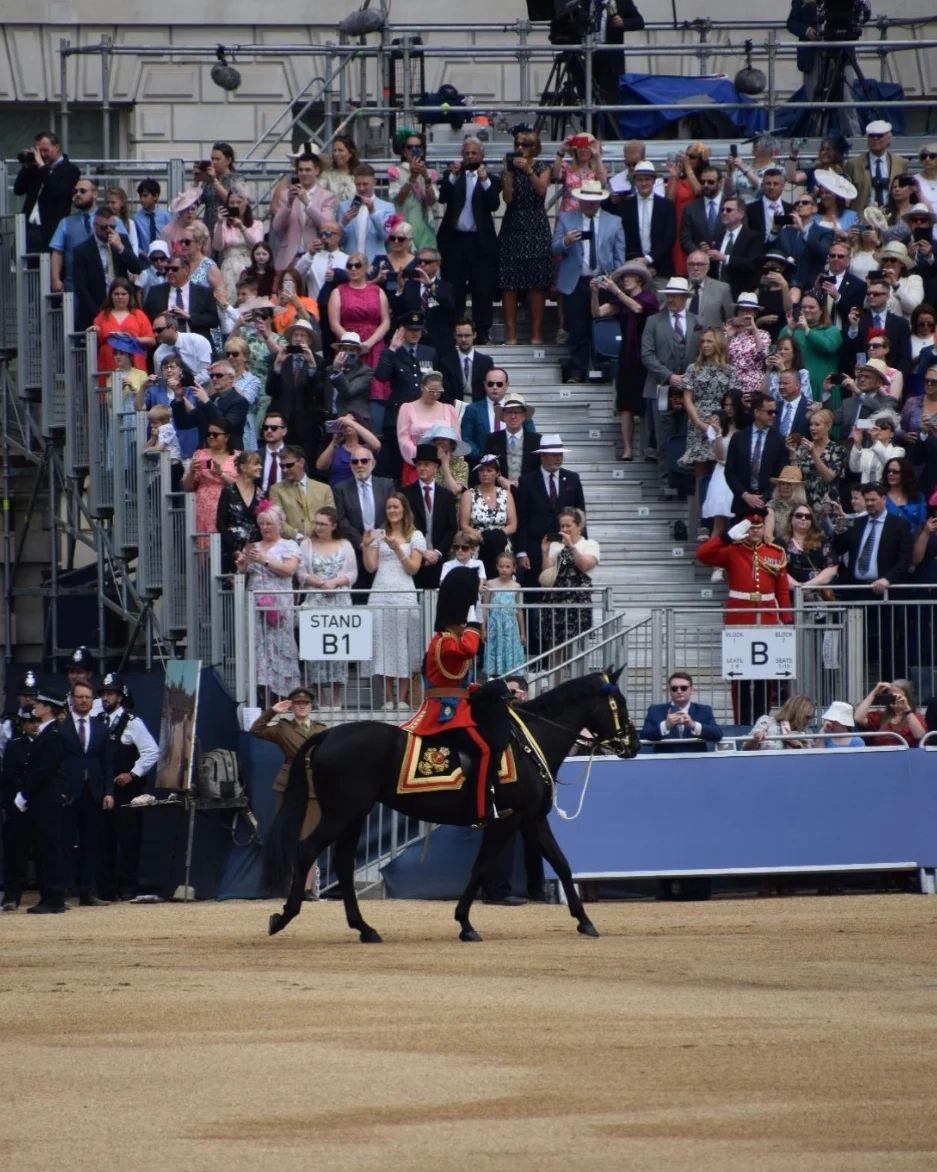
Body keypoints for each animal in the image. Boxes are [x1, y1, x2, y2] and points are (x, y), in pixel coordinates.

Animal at [267, 670, 642, 942]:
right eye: (620, 703)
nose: (634, 745)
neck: (529, 744)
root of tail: (328, 734)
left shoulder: (533, 820)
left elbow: (563, 864)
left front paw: (584, 921)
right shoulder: (507, 821)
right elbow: (481, 867)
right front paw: (465, 923)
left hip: (354, 816)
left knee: (343, 866)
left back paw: (365, 928)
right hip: (341, 814)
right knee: (306, 851)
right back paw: (284, 916)